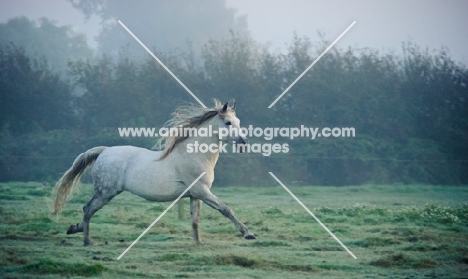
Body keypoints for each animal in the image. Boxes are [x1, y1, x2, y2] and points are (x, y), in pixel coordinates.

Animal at [51, 100, 256, 247]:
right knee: (88, 209)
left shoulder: (195, 194)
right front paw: (248, 233)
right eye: (228, 123)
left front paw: (198, 242)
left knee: (88, 210)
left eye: (238, 122)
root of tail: (104, 151)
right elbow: (225, 209)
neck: (193, 155)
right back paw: (88, 241)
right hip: (105, 192)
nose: (244, 142)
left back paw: (74, 229)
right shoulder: (202, 191)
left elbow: (195, 220)